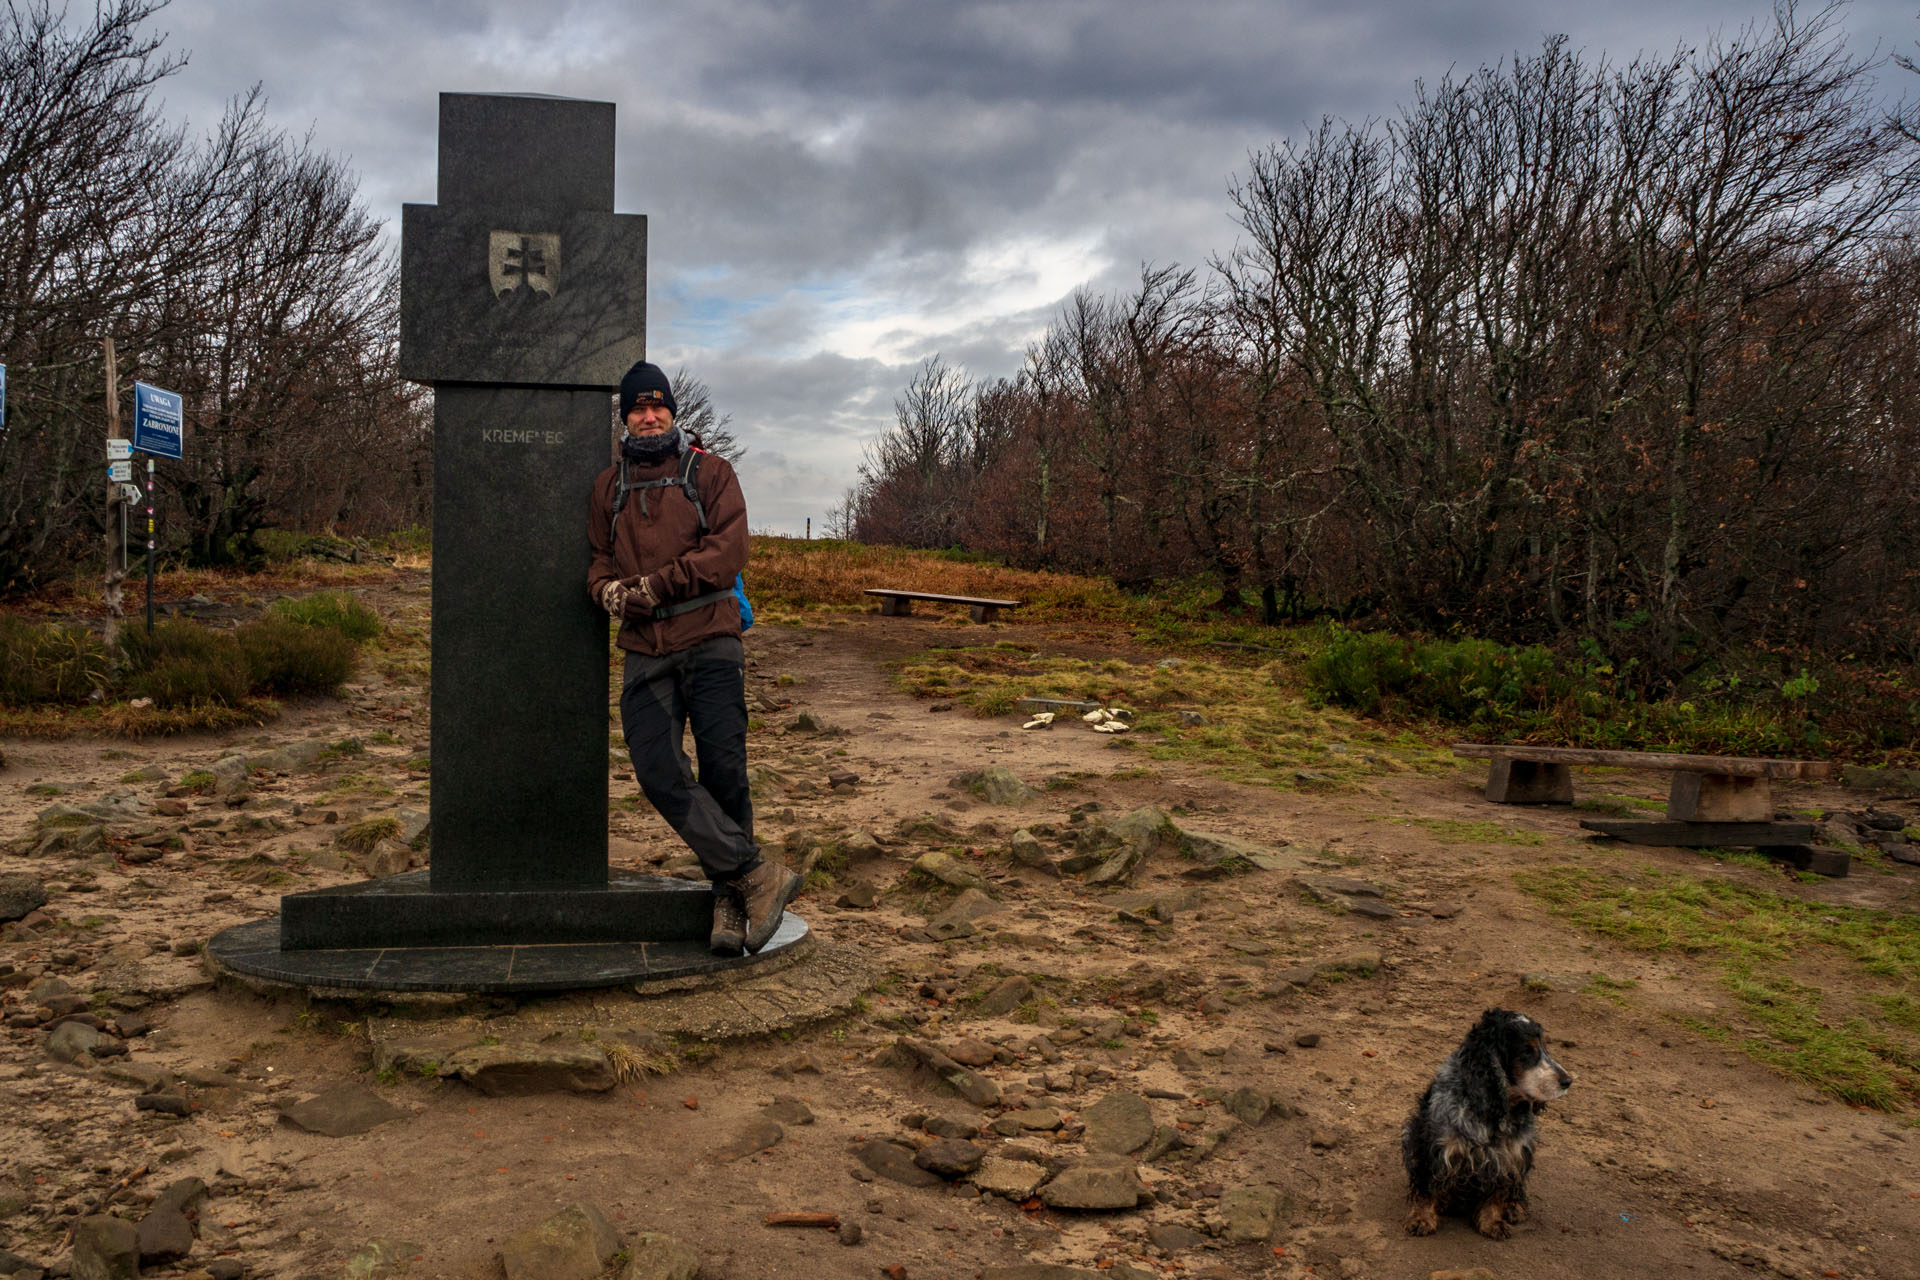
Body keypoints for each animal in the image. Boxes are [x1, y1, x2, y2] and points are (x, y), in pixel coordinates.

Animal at [1405, 1013, 1566, 1243]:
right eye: (1526, 1051)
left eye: (1544, 1048)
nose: (1568, 1081)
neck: (1495, 1109)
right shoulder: (1433, 1146)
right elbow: (1426, 1186)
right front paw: (1422, 1219)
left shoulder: (1511, 1155)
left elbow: (1498, 1192)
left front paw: (1492, 1223)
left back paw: (1514, 1207)